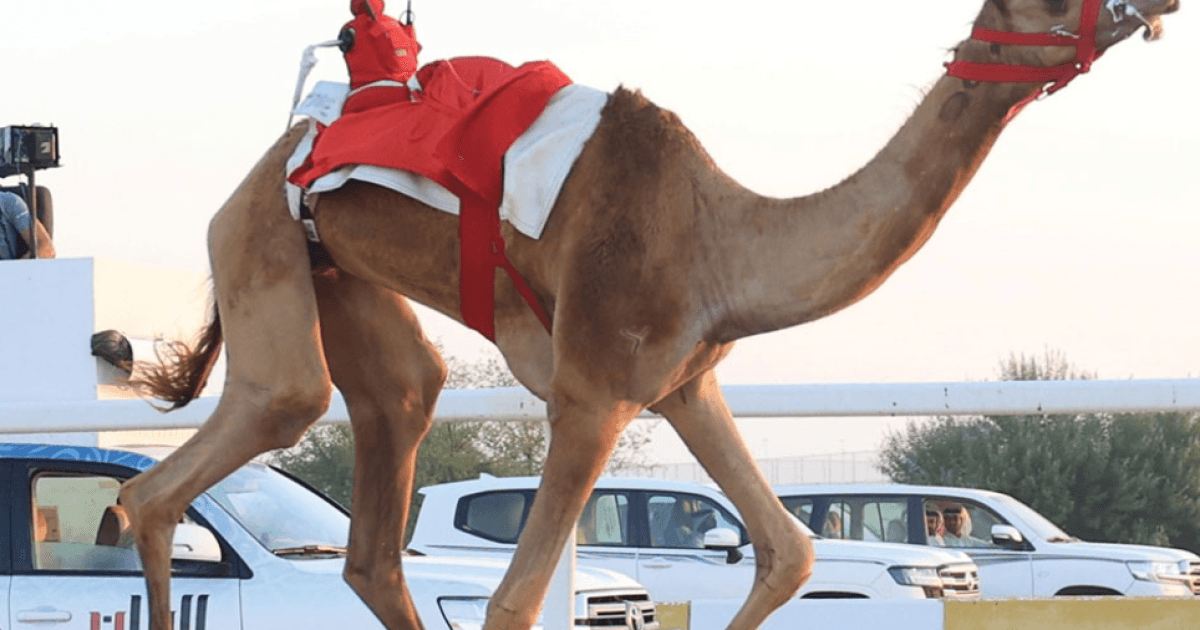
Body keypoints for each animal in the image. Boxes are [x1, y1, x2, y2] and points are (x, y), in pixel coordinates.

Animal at [121, 0, 1180, 629]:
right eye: (1049, 1)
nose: (1157, 2)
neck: (721, 239)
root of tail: (283, 150)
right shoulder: (593, 390)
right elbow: (513, 603)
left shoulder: (683, 383)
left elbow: (789, 552)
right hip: (258, 242)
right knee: (219, 448)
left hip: (339, 277)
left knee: (388, 462)